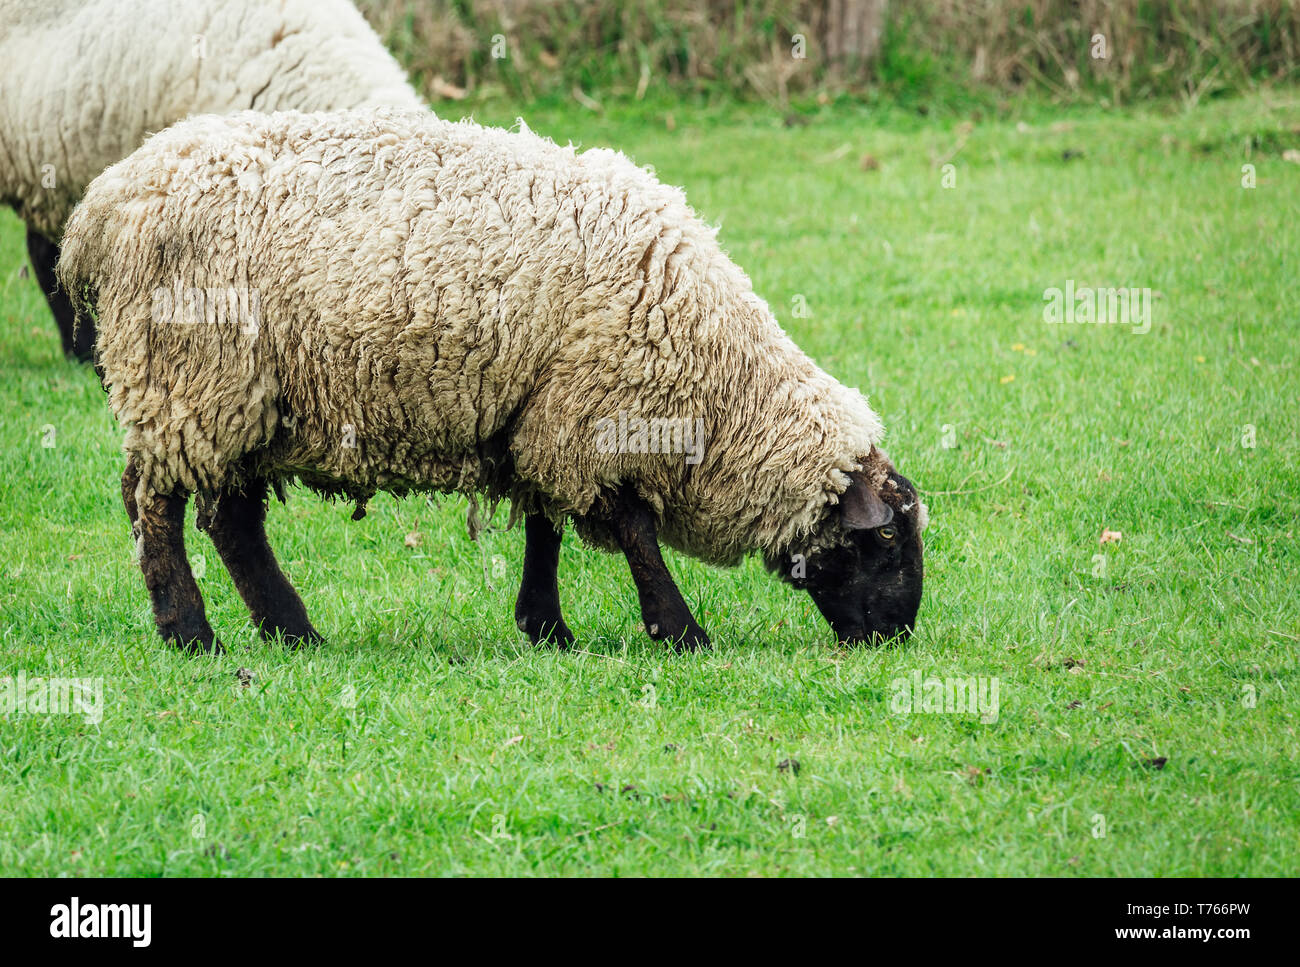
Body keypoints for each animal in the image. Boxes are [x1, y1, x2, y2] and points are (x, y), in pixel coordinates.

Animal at [57, 108, 927, 654]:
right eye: (886, 536)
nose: (898, 633)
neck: (722, 390)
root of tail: (106, 201)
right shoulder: (590, 417)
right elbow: (636, 534)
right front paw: (679, 630)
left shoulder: (542, 418)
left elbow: (545, 527)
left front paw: (547, 626)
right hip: (186, 378)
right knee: (153, 504)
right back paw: (189, 632)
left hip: (243, 399)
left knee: (231, 520)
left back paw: (290, 630)